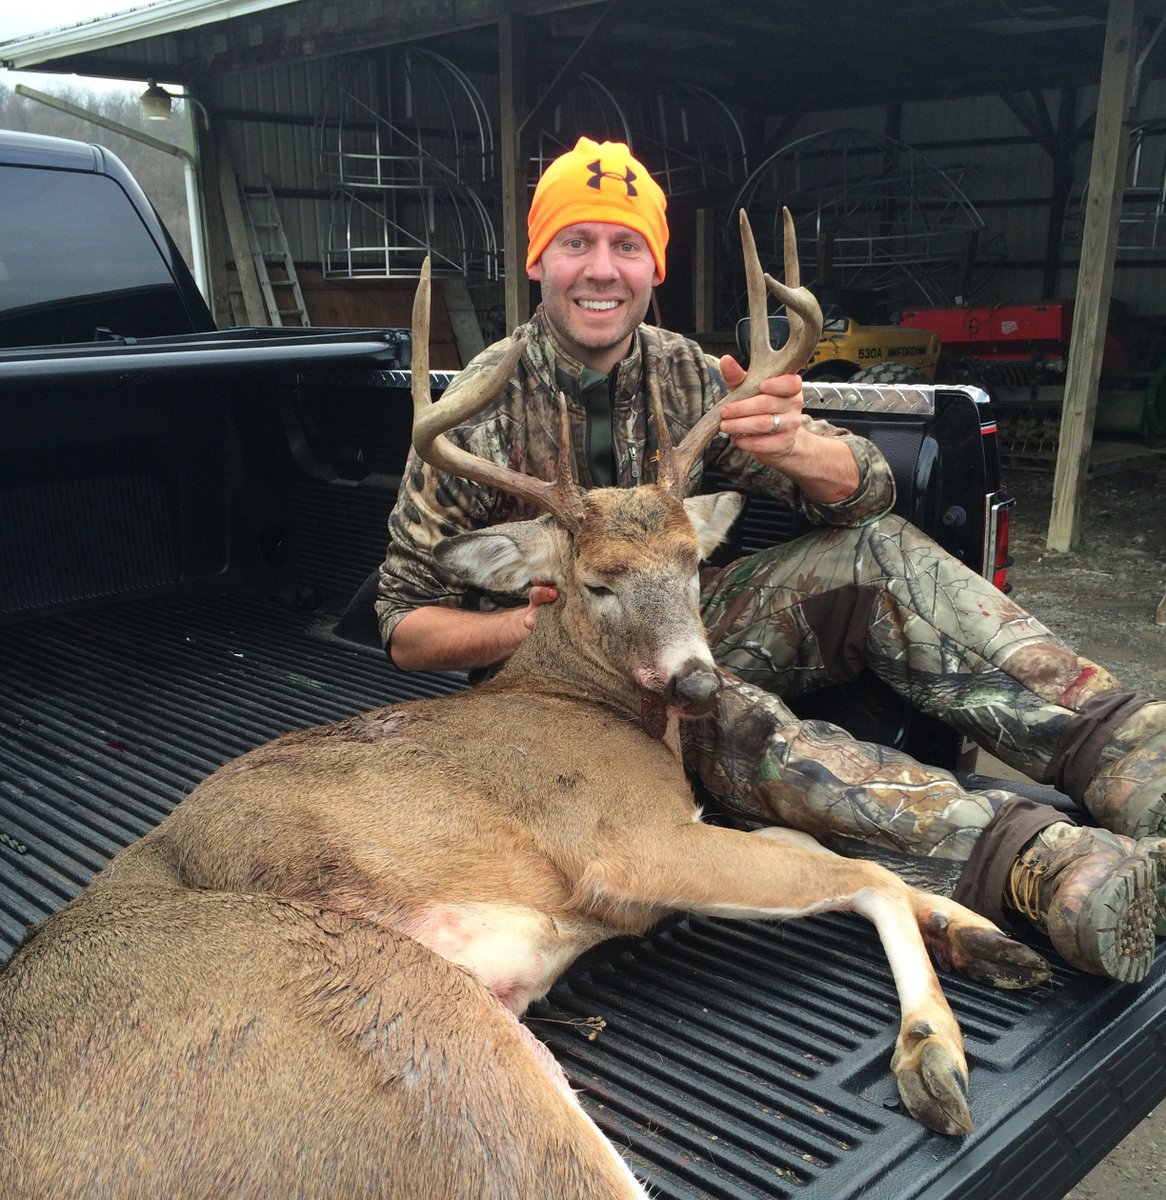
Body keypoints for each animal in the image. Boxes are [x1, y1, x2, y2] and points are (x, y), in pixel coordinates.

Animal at [0, 210, 1051, 1200]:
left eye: (693, 562)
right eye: (595, 582)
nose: (699, 683)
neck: (581, 697)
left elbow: (813, 843)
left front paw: (986, 937)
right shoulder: (623, 844)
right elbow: (856, 871)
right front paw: (934, 1053)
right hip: (408, 1033)